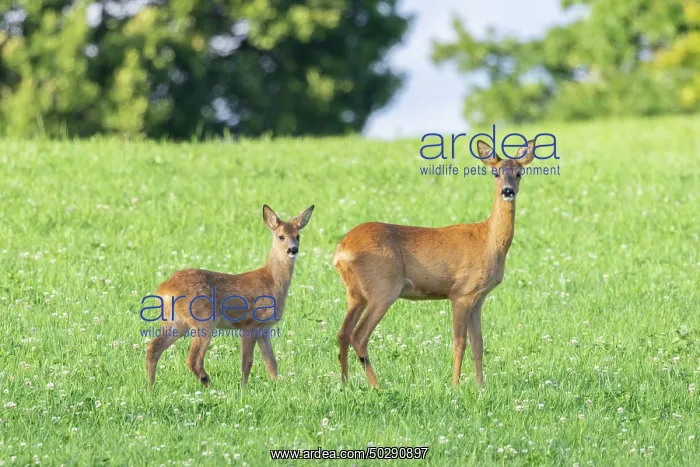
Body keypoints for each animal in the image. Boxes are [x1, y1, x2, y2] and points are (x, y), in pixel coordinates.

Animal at [146, 204, 314, 389]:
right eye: (281, 236)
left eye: (298, 236)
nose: (293, 249)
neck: (272, 280)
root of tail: (164, 289)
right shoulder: (250, 324)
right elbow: (247, 362)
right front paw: (244, 388)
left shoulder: (265, 329)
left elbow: (271, 362)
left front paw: (275, 385)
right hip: (204, 318)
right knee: (193, 358)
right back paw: (208, 383)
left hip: (176, 321)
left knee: (153, 348)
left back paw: (150, 387)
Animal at [333, 139, 536, 388]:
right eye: (495, 172)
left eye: (519, 173)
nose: (507, 191)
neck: (489, 240)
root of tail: (341, 249)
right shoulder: (461, 293)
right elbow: (459, 342)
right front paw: (456, 385)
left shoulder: (478, 299)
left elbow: (478, 344)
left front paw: (481, 386)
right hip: (383, 288)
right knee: (359, 335)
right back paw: (377, 386)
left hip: (356, 293)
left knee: (343, 333)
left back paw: (345, 383)